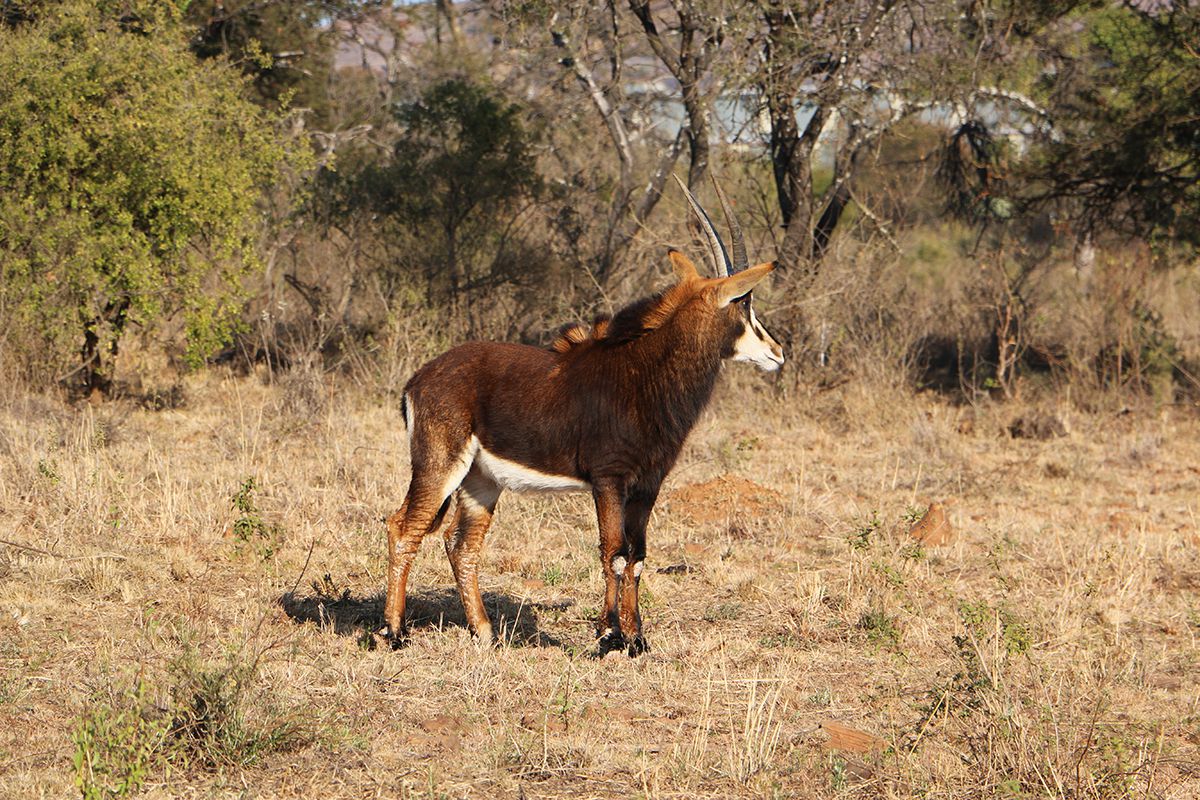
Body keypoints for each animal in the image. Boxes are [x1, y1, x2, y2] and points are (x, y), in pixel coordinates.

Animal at [379, 176, 782, 657]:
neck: (643, 372)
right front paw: (608, 636)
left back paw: (486, 633)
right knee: (403, 527)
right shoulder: (609, 479)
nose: (777, 353)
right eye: (745, 305)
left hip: (481, 481)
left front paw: (636, 639)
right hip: (439, 466)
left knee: (462, 545)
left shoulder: (647, 485)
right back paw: (393, 632)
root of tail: (417, 379)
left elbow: (638, 556)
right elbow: (614, 552)